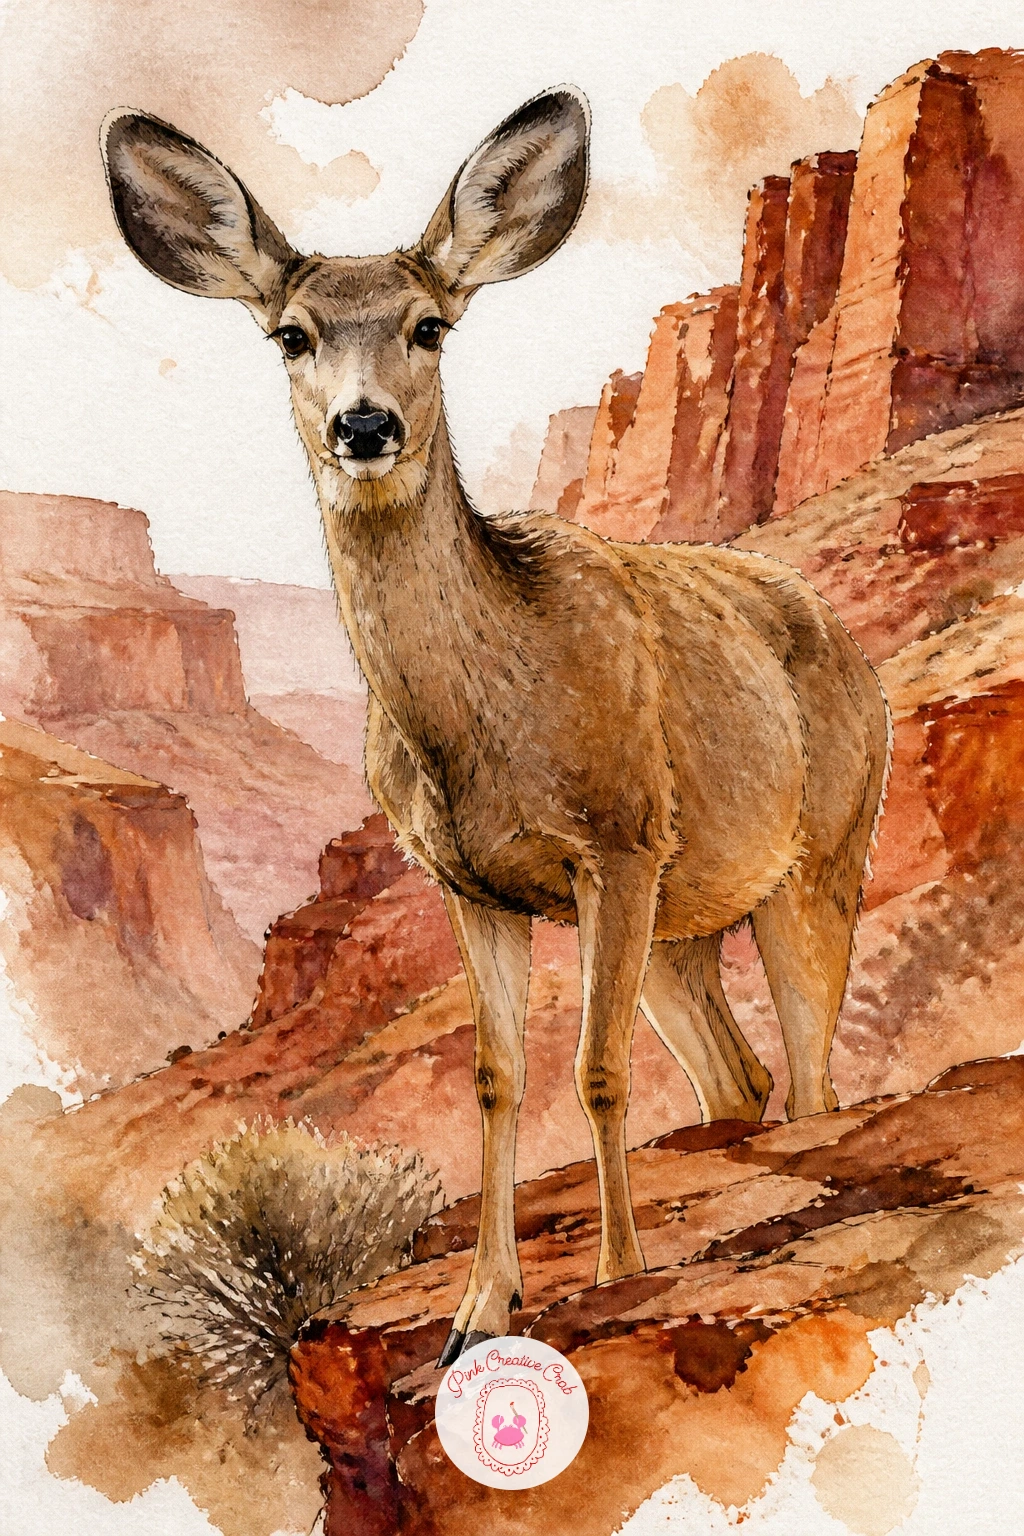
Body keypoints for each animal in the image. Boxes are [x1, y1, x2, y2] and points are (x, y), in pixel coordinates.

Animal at [102, 88, 890, 1367]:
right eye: (291, 335)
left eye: (429, 325)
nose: (363, 426)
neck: (483, 729)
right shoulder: (471, 884)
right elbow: (498, 1074)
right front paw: (479, 1311)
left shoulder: (618, 839)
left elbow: (597, 1069)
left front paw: (617, 1272)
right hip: (685, 924)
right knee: (739, 1079)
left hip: (820, 856)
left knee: (817, 1079)